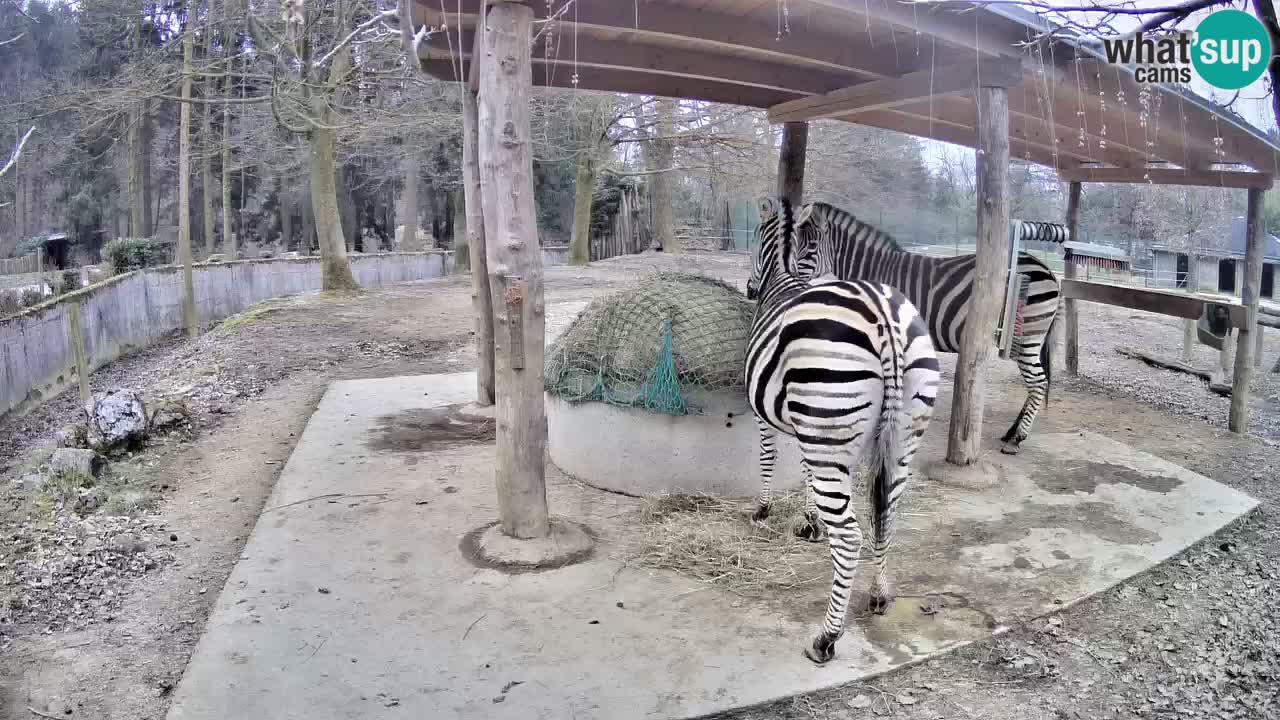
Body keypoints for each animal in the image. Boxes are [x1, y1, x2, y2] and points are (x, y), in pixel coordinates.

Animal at [742, 194, 942, 661]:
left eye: (754, 239)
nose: (749, 290)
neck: (783, 278)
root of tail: (885, 317)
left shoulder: (768, 415)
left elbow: (768, 457)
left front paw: (763, 510)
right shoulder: (806, 424)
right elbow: (804, 472)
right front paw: (811, 522)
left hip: (832, 429)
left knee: (850, 536)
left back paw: (827, 637)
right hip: (900, 436)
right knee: (887, 512)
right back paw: (880, 594)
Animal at [783, 198, 1064, 450]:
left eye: (810, 247)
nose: (787, 279)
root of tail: (1048, 270)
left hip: (1028, 336)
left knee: (1038, 382)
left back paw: (1017, 439)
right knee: (1036, 383)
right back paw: (1012, 432)